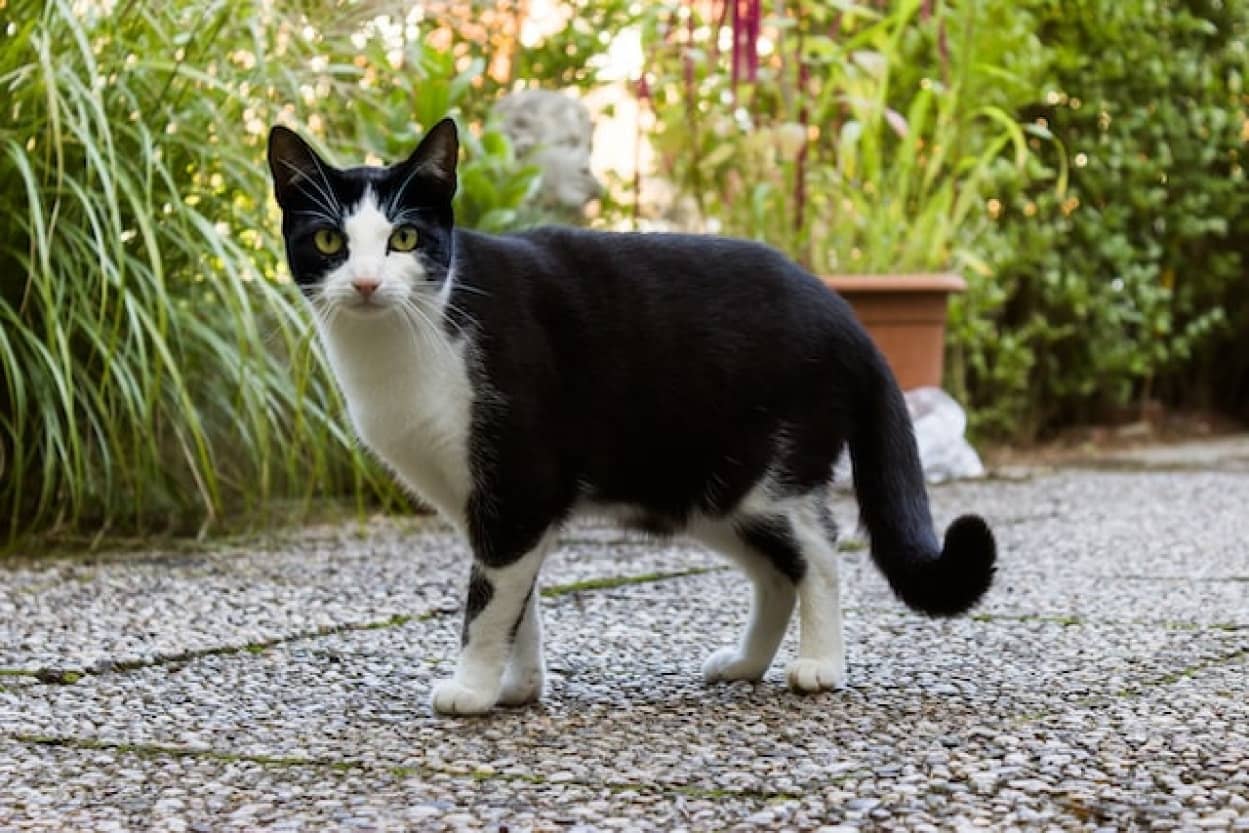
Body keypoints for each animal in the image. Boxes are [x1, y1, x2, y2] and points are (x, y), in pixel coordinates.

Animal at [266, 115, 994, 719]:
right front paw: (516, 687)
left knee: (818, 552)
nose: (365, 283)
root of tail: (844, 313)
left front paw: (471, 690)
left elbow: (487, 602)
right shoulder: (497, 508)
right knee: (774, 571)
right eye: (328, 239)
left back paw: (819, 665)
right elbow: (515, 600)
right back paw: (744, 664)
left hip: (768, 472)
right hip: (707, 489)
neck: (405, 343)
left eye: (404, 237)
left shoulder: (518, 484)